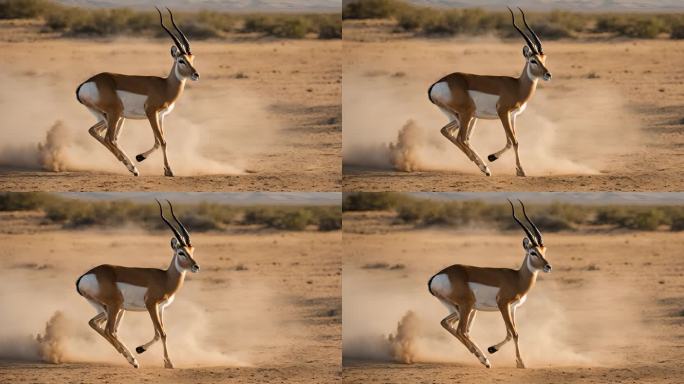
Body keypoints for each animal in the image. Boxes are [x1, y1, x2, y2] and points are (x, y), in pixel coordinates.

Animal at [76, 7, 198, 176]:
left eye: (192, 59)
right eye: (181, 60)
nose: (195, 74)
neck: (165, 86)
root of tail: (85, 84)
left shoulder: (161, 116)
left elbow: (158, 141)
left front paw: (141, 157)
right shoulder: (151, 113)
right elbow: (162, 141)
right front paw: (169, 170)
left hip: (109, 116)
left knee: (96, 132)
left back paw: (131, 166)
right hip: (115, 113)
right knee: (109, 138)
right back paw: (132, 168)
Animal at [78, 200, 200, 368]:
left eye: (192, 250)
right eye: (181, 252)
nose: (196, 267)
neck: (165, 278)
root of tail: (85, 277)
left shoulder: (160, 308)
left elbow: (158, 333)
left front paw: (140, 348)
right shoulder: (151, 305)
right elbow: (162, 333)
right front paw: (169, 363)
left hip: (109, 308)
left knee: (97, 324)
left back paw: (130, 357)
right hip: (115, 306)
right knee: (109, 330)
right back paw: (133, 361)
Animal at [430, 7, 552, 176]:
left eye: (544, 58)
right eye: (533, 60)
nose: (548, 75)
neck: (517, 86)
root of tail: (437, 84)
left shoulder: (513, 116)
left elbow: (510, 141)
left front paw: (492, 157)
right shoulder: (503, 113)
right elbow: (514, 141)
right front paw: (521, 170)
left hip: (461, 116)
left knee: (449, 132)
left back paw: (483, 165)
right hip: (467, 114)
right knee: (461, 138)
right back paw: (485, 168)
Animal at [430, 200, 552, 368]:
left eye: (544, 250)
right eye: (533, 252)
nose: (548, 266)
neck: (517, 278)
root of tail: (437, 276)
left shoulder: (512, 308)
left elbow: (510, 333)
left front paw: (492, 348)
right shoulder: (503, 305)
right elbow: (514, 333)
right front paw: (521, 363)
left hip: (461, 308)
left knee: (448, 324)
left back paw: (482, 356)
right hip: (467, 306)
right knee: (461, 330)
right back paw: (485, 360)